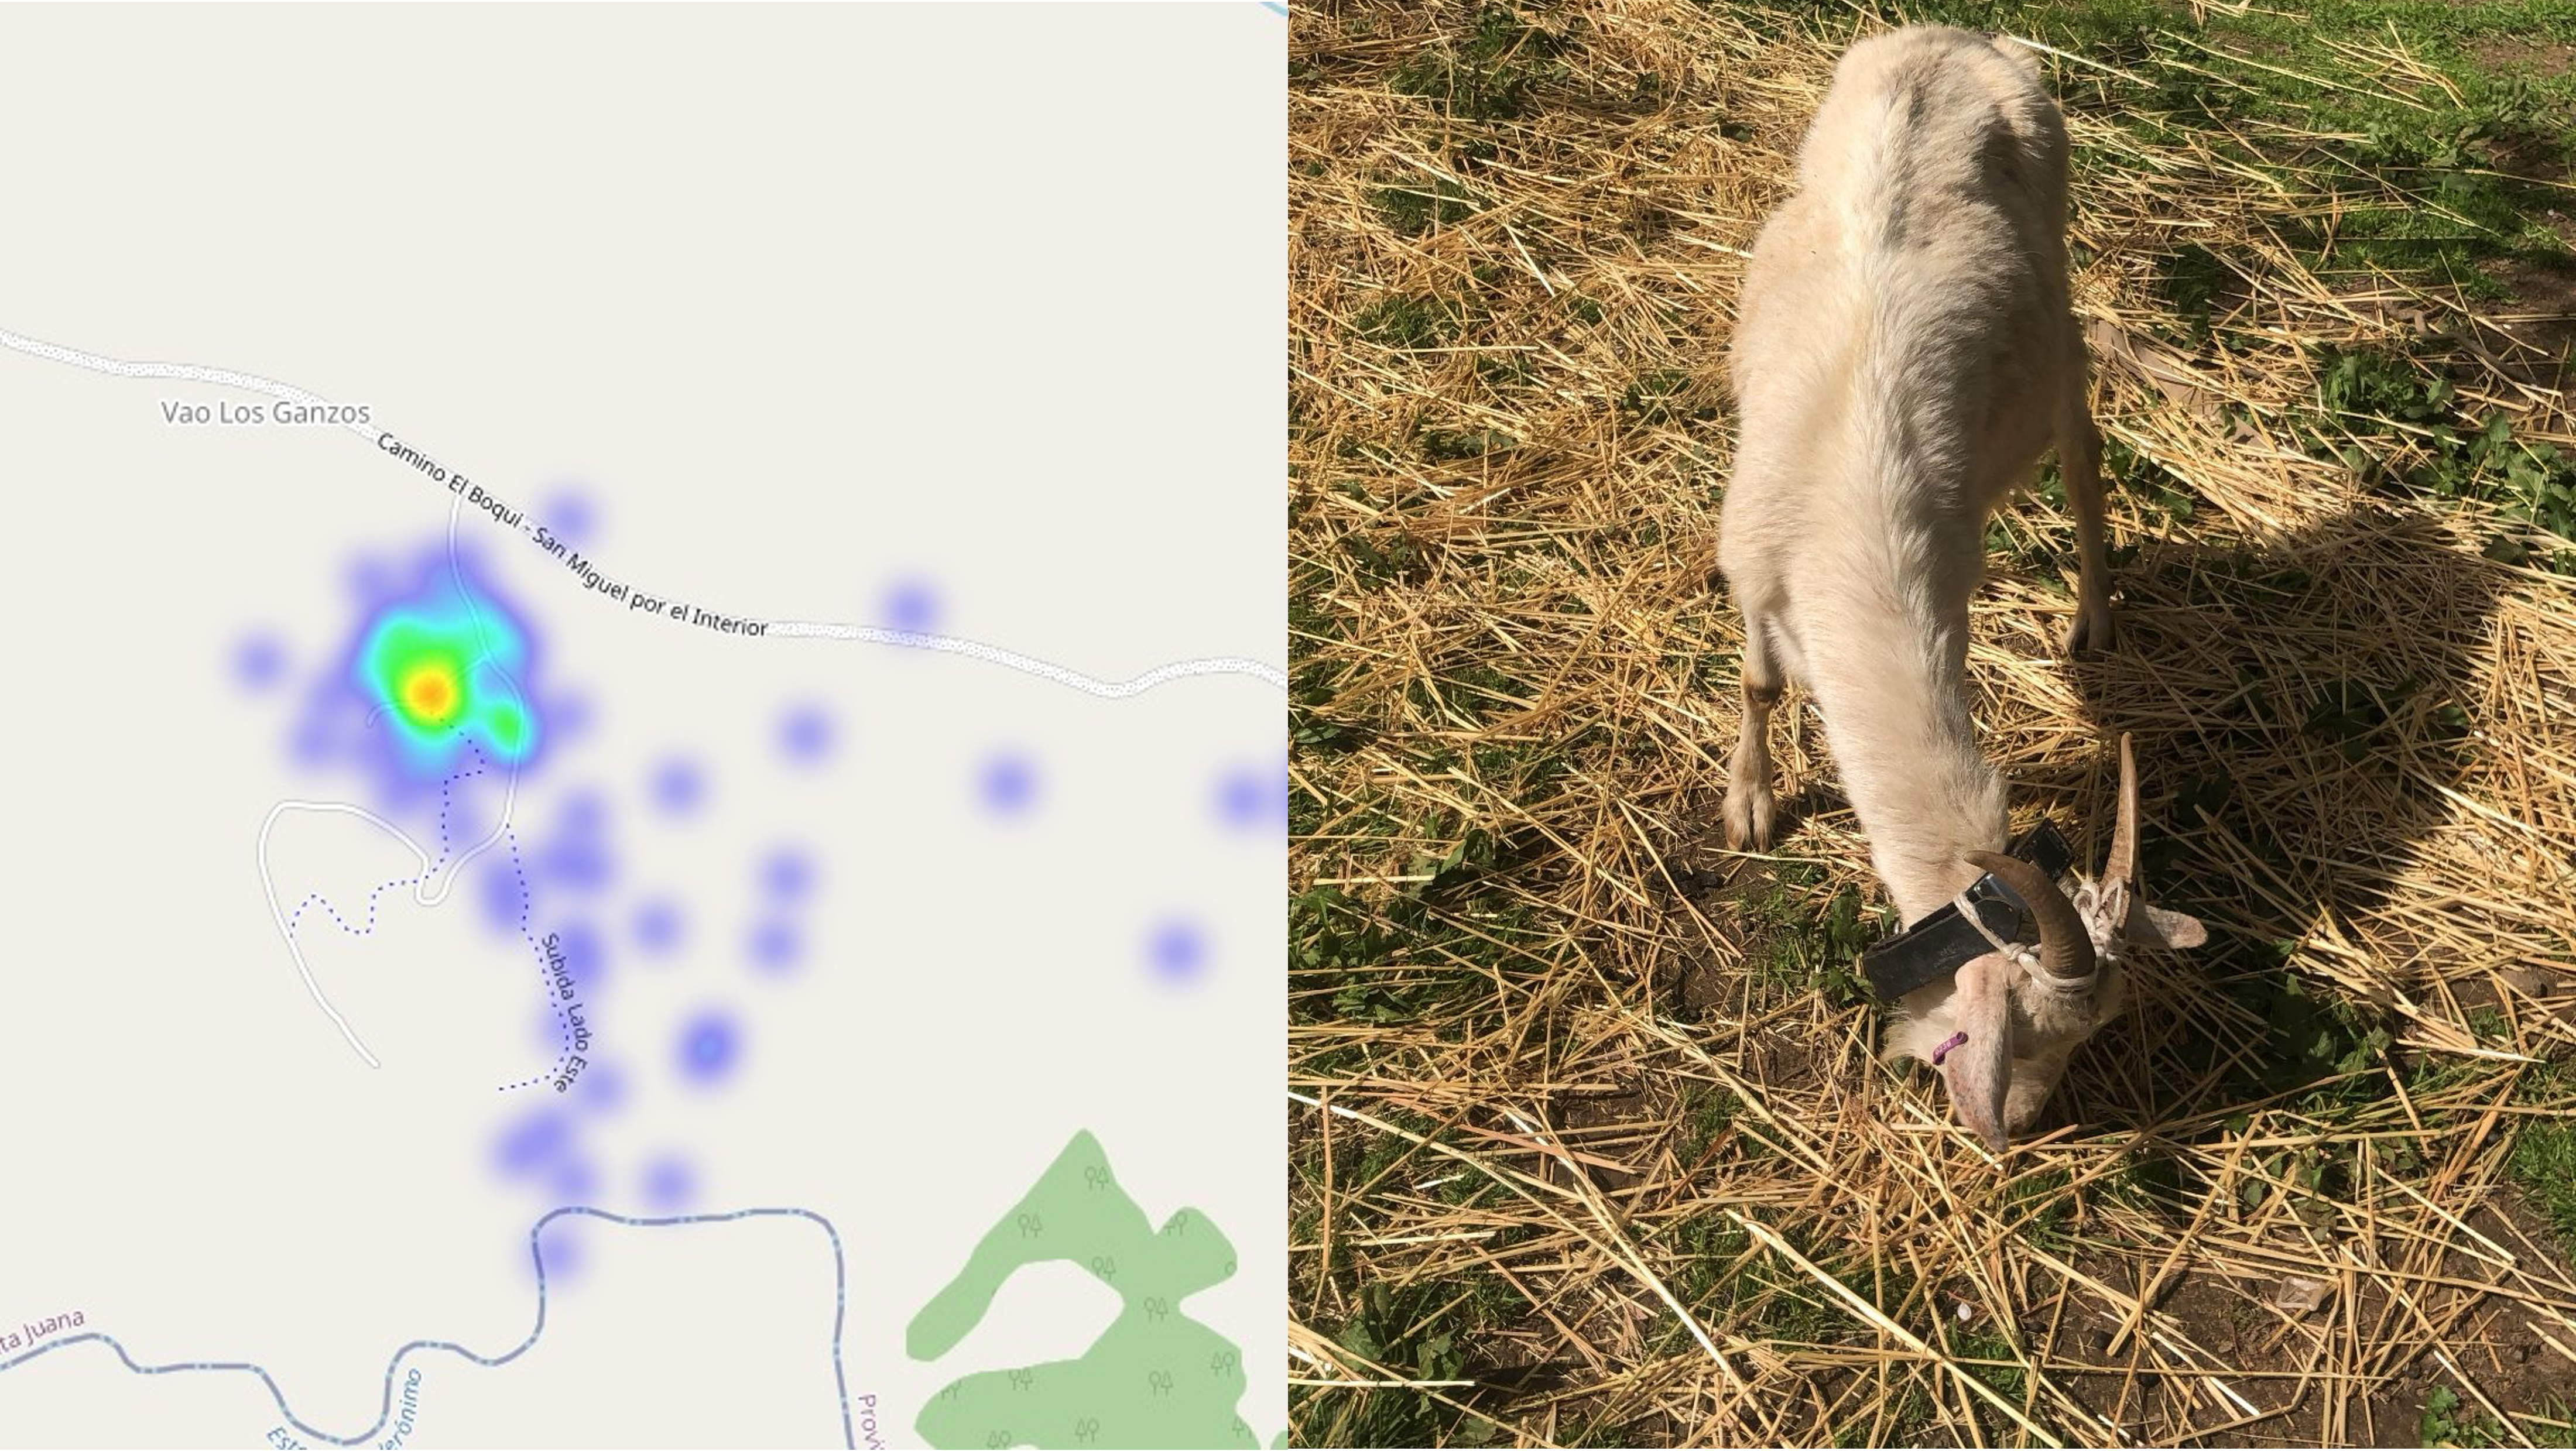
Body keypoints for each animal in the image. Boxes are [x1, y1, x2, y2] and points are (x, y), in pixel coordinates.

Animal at [1712, 26, 2206, 1149]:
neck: (1849, 530)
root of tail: (1960, 38)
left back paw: (2094, 617)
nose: (2016, 1127)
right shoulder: (1749, 560)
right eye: (2006, 1032)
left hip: (2057, 285)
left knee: (2083, 457)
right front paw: (1752, 805)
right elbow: (1760, 683)